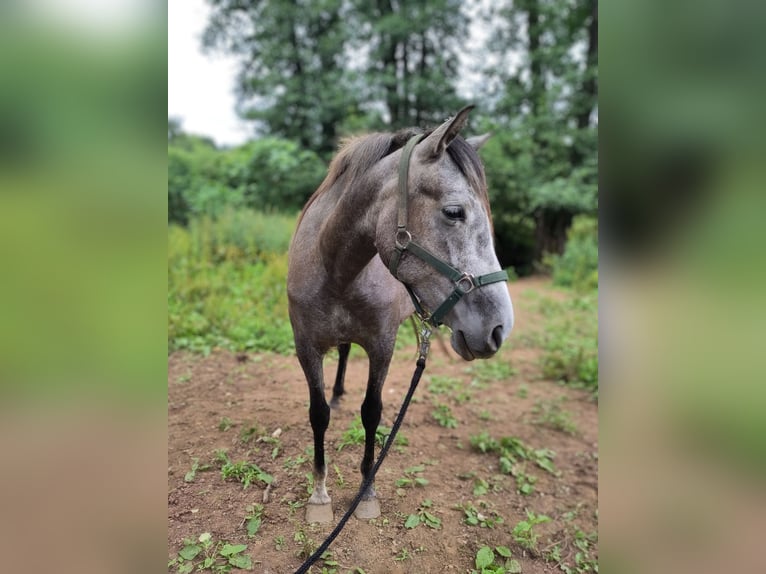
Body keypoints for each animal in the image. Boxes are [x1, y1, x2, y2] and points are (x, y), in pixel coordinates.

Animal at [288, 106, 516, 524]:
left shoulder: (382, 345)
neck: (334, 268)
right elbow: (319, 414)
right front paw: (319, 495)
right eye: (454, 212)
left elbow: (372, 413)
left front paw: (366, 492)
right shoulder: (306, 347)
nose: (499, 328)